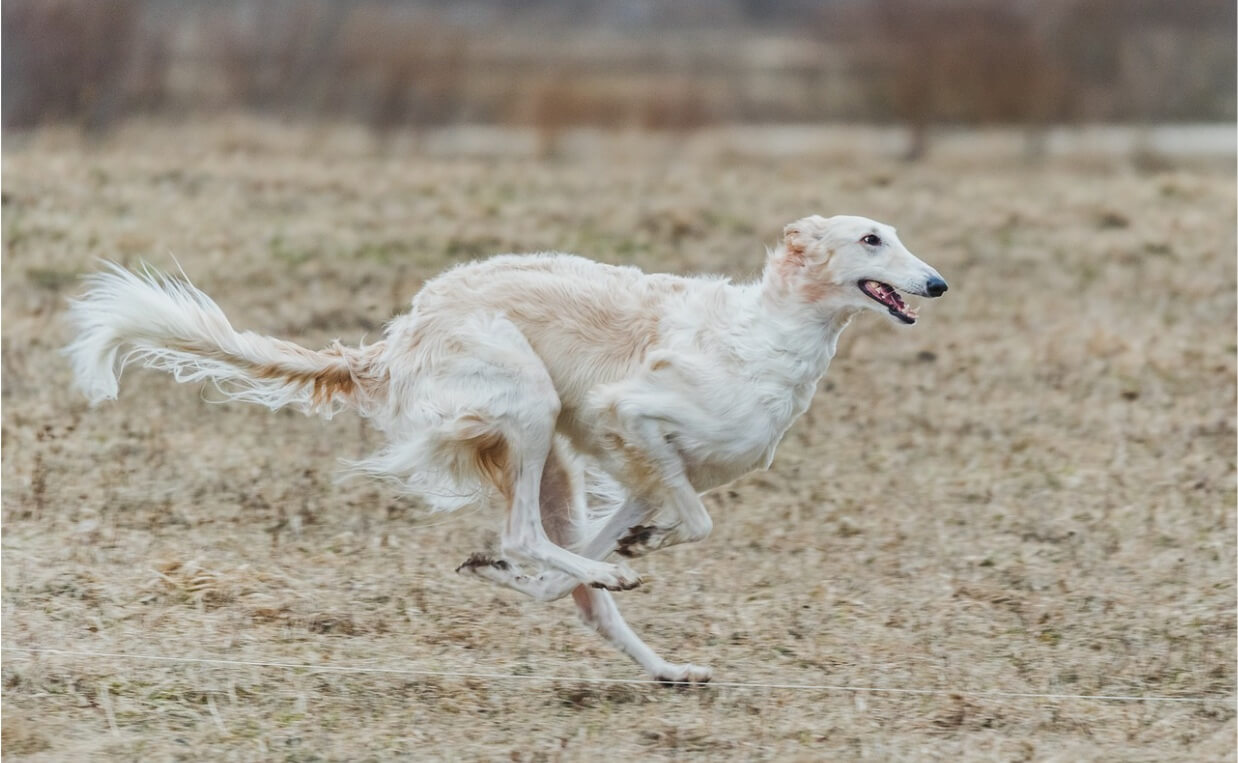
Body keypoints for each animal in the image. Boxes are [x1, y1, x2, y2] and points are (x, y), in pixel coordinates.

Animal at [65, 214, 945, 683]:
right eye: (871, 238)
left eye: (898, 236)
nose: (936, 284)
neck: (769, 335)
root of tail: (397, 339)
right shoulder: (634, 415)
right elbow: (692, 522)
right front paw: (628, 552)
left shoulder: (649, 468)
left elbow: (635, 536)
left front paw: (621, 549)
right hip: (530, 406)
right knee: (526, 534)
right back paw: (585, 574)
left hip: (553, 458)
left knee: (574, 587)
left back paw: (658, 658)